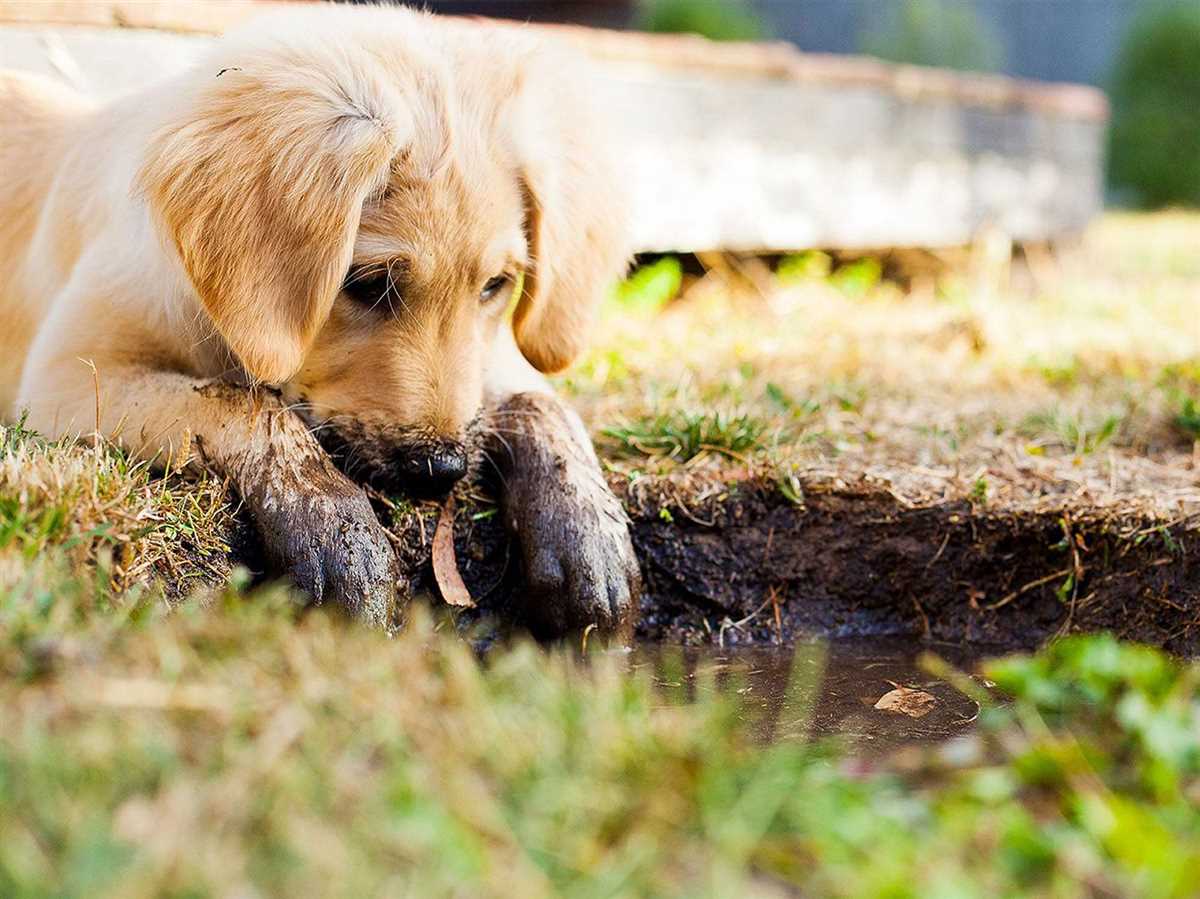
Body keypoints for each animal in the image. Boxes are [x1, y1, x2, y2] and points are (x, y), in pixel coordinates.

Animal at [0, 7, 638, 633]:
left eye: (494, 287)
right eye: (370, 285)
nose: (441, 470)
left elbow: (540, 402)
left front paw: (586, 532)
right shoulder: (67, 377)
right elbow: (243, 403)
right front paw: (335, 530)